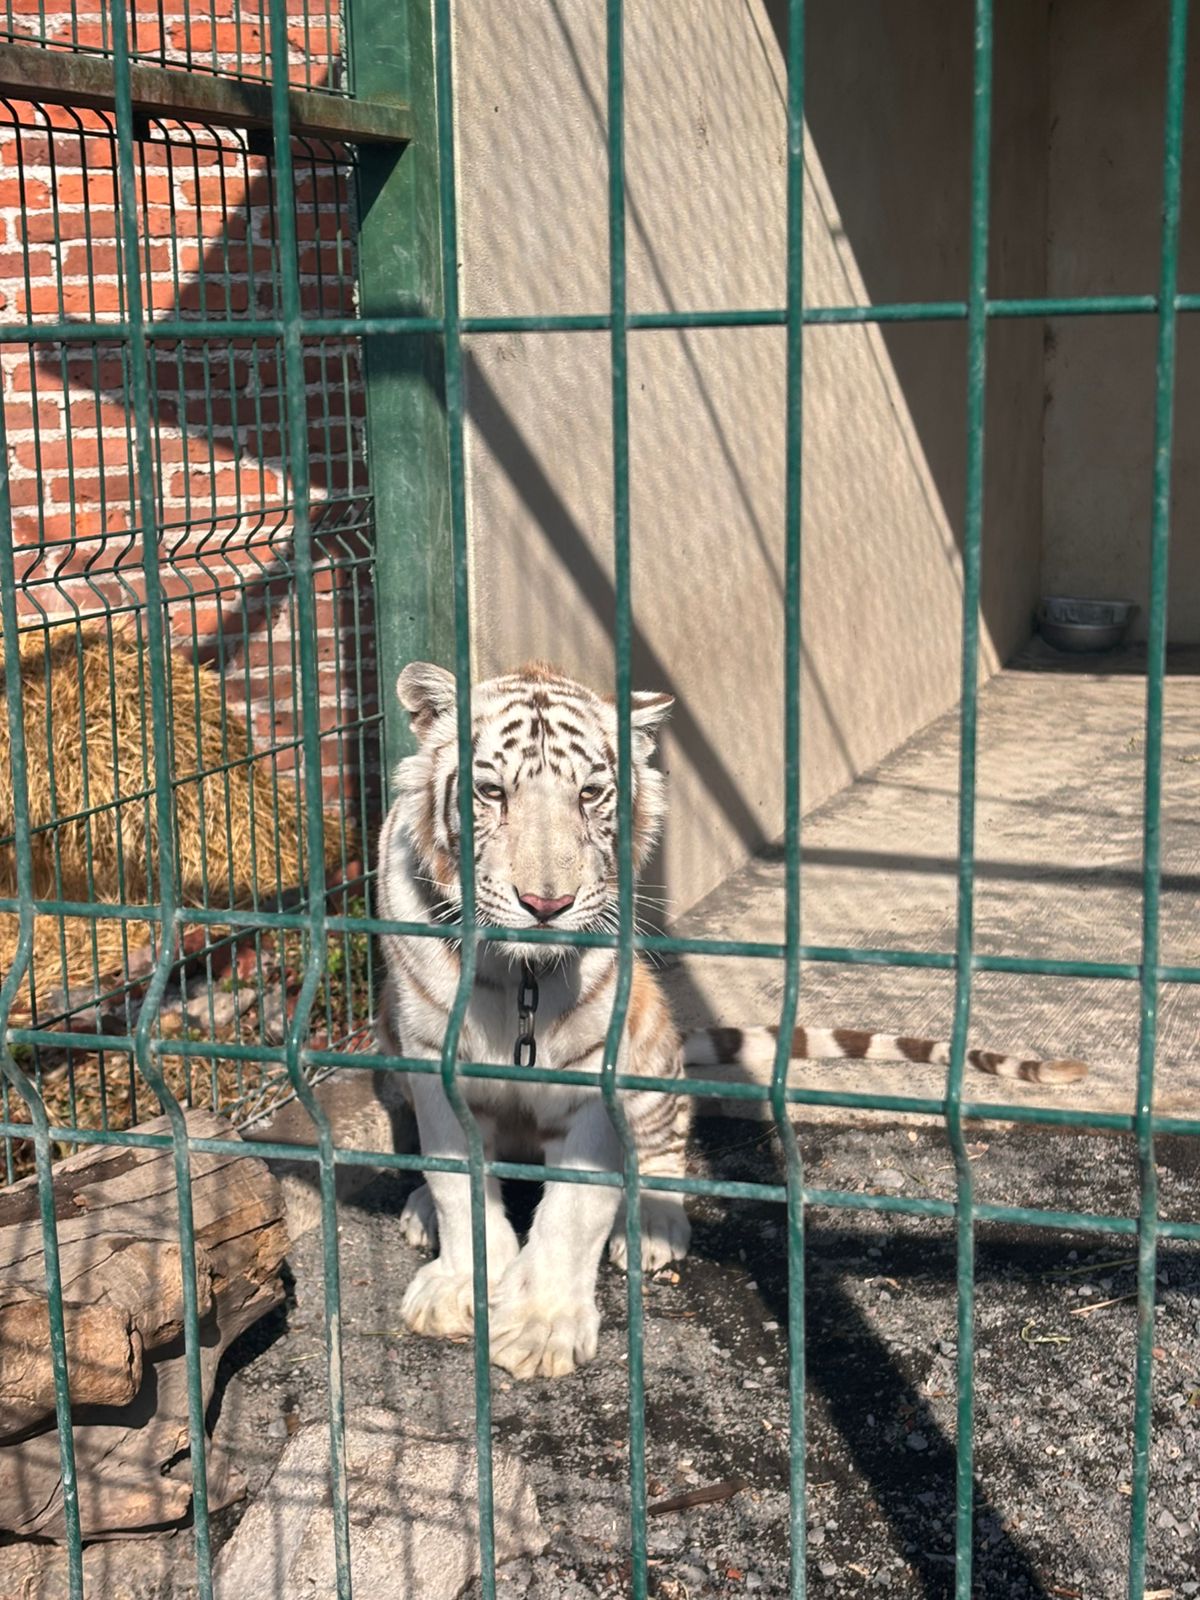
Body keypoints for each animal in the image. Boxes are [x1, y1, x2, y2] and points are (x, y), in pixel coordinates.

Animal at [375, 660, 1088, 1381]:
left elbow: (574, 1210)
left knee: (664, 1150)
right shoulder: (428, 1057)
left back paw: (654, 1226)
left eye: (592, 794)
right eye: (491, 791)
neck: (520, 977)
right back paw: (420, 1212)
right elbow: (455, 1180)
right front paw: (460, 1283)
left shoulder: (600, 1070)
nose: (547, 904)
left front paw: (542, 1326)